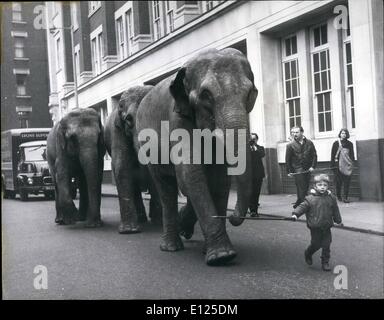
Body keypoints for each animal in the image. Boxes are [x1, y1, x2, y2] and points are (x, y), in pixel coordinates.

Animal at [103, 86, 162, 234]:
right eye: (129, 119)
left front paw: (159, 223)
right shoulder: (117, 131)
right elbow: (122, 168)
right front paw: (129, 231)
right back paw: (141, 220)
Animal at [135, 47, 258, 264]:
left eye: (251, 93)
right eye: (206, 95)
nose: (233, 218)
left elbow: (219, 180)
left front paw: (212, 251)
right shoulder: (177, 119)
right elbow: (190, 173)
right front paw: (222, 257)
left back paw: (184, 229)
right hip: (147, 146)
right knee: (166, 188)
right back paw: (171, 247)